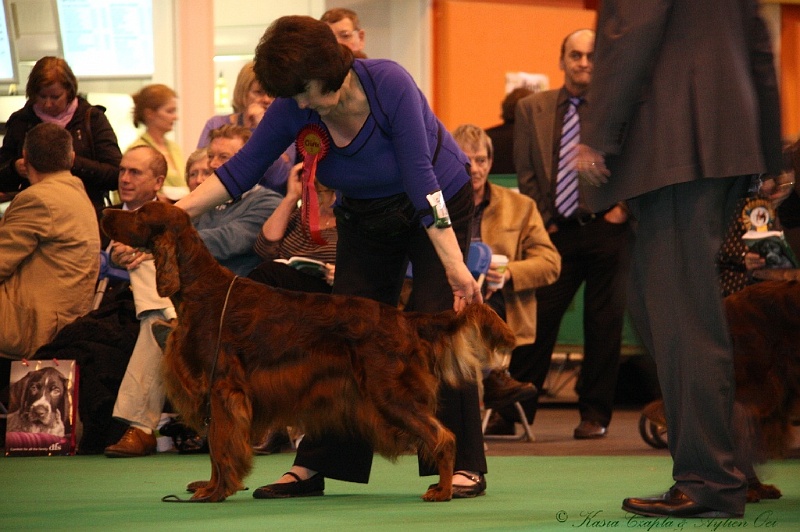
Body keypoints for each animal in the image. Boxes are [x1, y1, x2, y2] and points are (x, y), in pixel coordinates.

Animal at [100, 201, 516, 502]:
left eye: (140, 214)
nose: (106, 211)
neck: (201, 289)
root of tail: (404, 317)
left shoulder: (223, 387)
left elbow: (220, 444)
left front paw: (215, 492)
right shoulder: (217, 393)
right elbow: (218, 445)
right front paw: (211, 486)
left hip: (388, 394)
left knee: (443, 436)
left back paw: (444, 490)